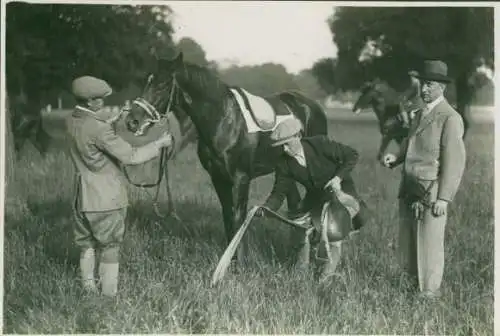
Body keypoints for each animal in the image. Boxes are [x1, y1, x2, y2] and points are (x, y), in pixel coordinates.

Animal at [125, 53, 328, 258]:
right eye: (148, 81)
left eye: (163, 84)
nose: (132, 121)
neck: (224, 120)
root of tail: (311, 107)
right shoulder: (218, 178)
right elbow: (228, 217)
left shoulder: (241, 178)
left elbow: (238, 218)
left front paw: (239, 260)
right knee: (296, 207)